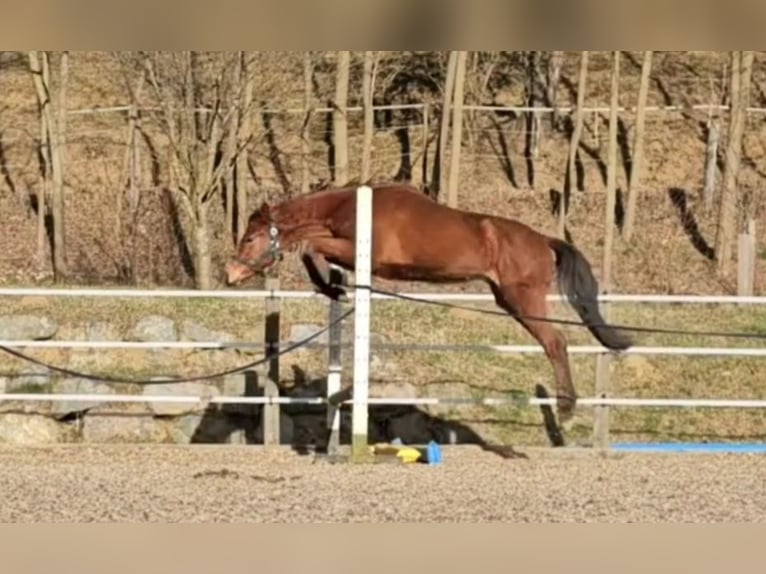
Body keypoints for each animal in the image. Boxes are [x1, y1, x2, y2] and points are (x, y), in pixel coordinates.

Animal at [225, 184, 632, 428]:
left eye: (249, 238)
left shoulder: (363, 252)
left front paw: (329, 284)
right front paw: (332, 287)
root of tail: (544, 240)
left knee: (555, 343)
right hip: (507, 299)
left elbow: (311, 244)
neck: (352, 207)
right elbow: (313, 243)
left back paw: (566, 409)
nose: (230, 273)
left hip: (524, 299)